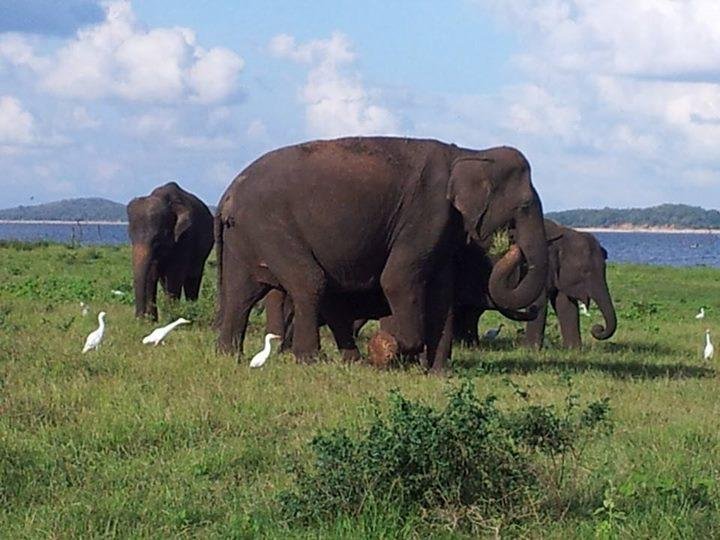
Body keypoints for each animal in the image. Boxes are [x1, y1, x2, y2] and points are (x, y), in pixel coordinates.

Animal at [127, 180, 214, 320]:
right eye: (130, 236)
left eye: (157, 239)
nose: (139, 319)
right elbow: (152, 274)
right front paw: (151, 321)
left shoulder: (185, 236)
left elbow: (174, 275)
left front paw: (171, 319)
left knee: (192, 278)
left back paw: (192, 311)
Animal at [214, 137, 544, 370]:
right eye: (525, 204)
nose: (514, 247)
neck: (467, 152)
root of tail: (228, 194)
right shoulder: (426, 212)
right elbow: (396, 280)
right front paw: (387, 348)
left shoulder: (442, 226)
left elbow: (441, 292)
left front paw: (438, 373)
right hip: (271, 227)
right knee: (310, 283)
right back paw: (311, 360)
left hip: (244, 236)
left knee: (241, 294)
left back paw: (229, 355)